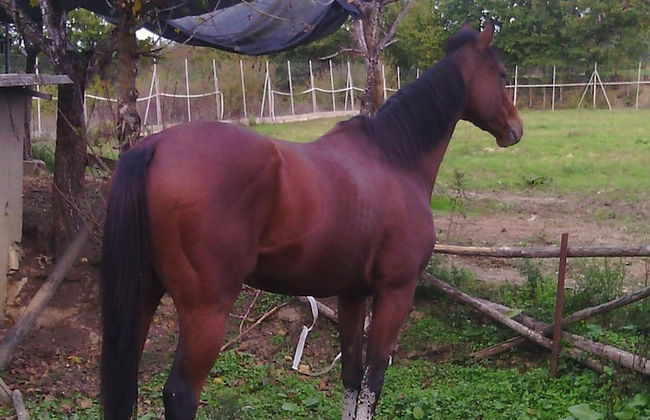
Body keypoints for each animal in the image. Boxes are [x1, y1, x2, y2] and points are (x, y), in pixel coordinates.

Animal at [100, 21, 522, 420]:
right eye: (501, 73)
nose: (516, 129)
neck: (394, 159)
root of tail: (155, 147)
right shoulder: (395, 292)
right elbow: (373, 380)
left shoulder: (353, 293)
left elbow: (351, 377)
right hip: (206, 311)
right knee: (180, 394)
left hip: (143, 295)